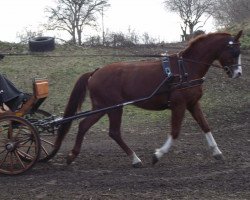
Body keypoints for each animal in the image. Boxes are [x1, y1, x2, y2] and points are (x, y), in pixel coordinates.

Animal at [52, 30, 242, 167]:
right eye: (234, 51)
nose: (238, 74)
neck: (186, 67)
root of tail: (95, 72)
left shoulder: (193, 103)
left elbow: (205, 126)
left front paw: (217, 152)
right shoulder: (178, 105)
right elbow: (175, 132)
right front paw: (157, 155)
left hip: (102, 107)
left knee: (84, 125)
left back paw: (72, 155)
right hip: (114, 107)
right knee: (113, 132)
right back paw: (135, 159)